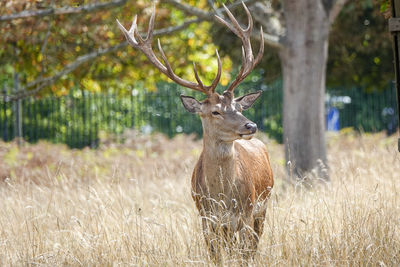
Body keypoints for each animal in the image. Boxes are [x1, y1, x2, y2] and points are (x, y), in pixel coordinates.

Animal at [115, 2, 272, 264]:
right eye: (215, 112)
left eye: (239, 107)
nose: (251, 126)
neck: (222, 199)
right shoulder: (206, 220)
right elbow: (217, 258)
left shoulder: (247, 215)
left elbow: (243, 257)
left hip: (263, 206)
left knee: (252, 248)